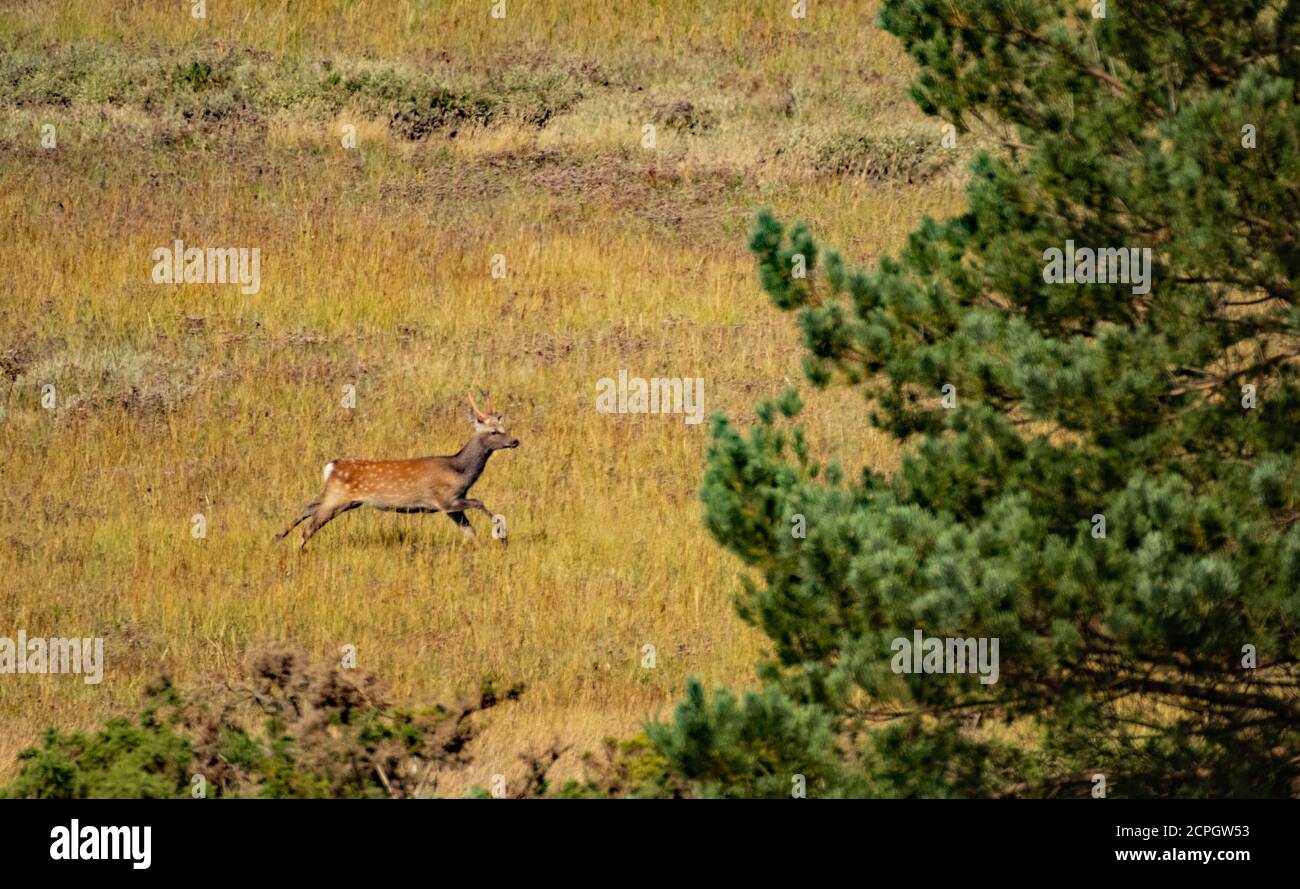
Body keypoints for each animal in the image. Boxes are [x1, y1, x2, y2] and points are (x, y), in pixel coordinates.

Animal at [276, 395, 520, 548]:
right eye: (494, 431)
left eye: (504, 428)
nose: (515, 441)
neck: (460, 470)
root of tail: (331, 466)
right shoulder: (445, 500)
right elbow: (480, 503)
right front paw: (502, 535)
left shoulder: (454, 505)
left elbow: (470, 532)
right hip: (338, 498)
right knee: (309, 527)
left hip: (343, 500)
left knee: (307, 508)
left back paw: (277, 537)